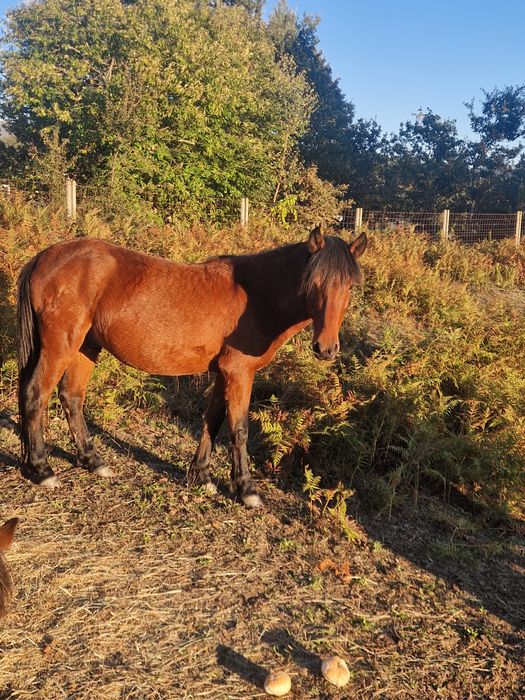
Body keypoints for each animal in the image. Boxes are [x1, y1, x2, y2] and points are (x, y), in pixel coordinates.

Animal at [17, 227, 367, 507]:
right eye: (315, 282)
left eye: (350, 286)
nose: (326, 348)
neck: (256, 297)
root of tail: (45, 256)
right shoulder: (240, 374)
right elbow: (239, 429)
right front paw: (246, 490)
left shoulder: (224, 373)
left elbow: (213, 420)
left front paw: (201, 476)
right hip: (61, 344)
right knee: (36, 395)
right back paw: (42, 470)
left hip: (86, 346)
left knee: (71, 398)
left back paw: (92, 461)